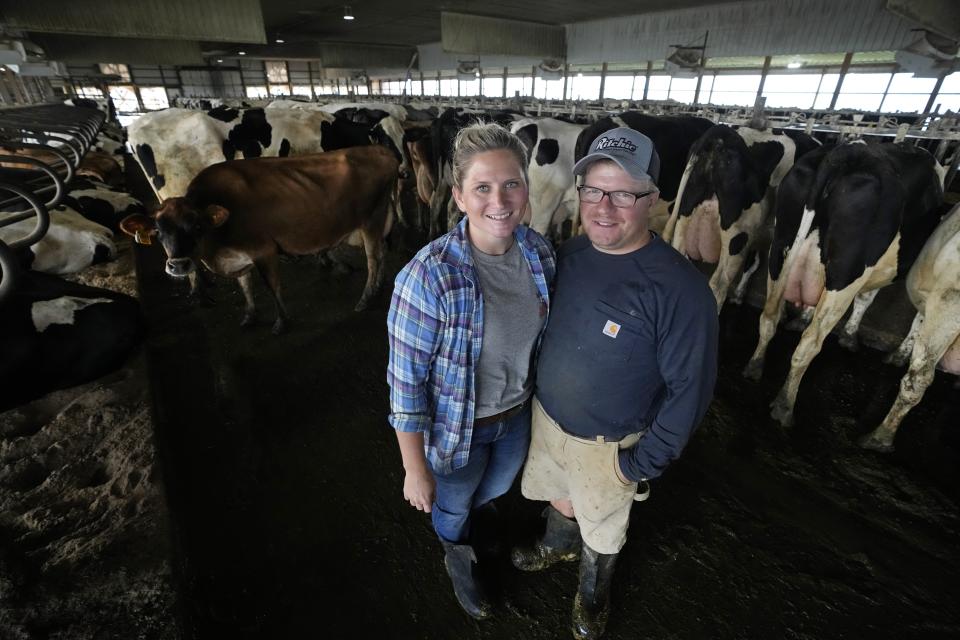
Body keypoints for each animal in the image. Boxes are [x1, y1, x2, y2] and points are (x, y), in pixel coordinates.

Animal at [120, 146, 398, 336]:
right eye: (157, 231)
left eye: (197, 227)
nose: (178, 265)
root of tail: (380, 150)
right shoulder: (238, 254)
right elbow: (244, 284)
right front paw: (250, 315)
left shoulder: (263, 249)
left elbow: (271, 285)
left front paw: (281, 322)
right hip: (381, 218)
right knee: (384, 251)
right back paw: (380, 286)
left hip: (371, 219)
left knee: (373, 258)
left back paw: (366, 298)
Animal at [744, 142, 944, 428]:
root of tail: (845, 151)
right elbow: (871, 300)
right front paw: (851, 336)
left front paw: (804, 318)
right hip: (847, 272)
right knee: (810, 342)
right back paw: (784, 405)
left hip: (780, 246)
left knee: (769, 316)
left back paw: (755, 366)